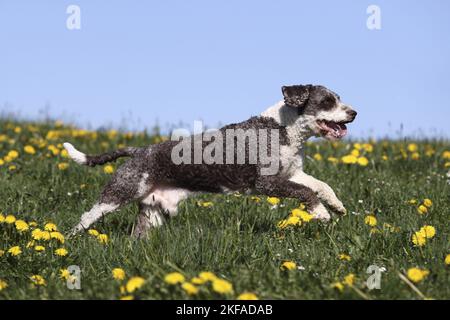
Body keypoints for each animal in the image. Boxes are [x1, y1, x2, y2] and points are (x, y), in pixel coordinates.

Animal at [64, 84, 358, 236]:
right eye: (327, 101)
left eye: (338, 98)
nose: (354, 113)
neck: (280, 128)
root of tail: (139, 151)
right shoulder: (267, 183)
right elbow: (307, 192)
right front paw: (321, 213)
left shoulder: (292, 173)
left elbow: (321, 186)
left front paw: (337, 206)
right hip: (121, 191)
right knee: (86, 216)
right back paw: (70, 239)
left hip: (153, 210)